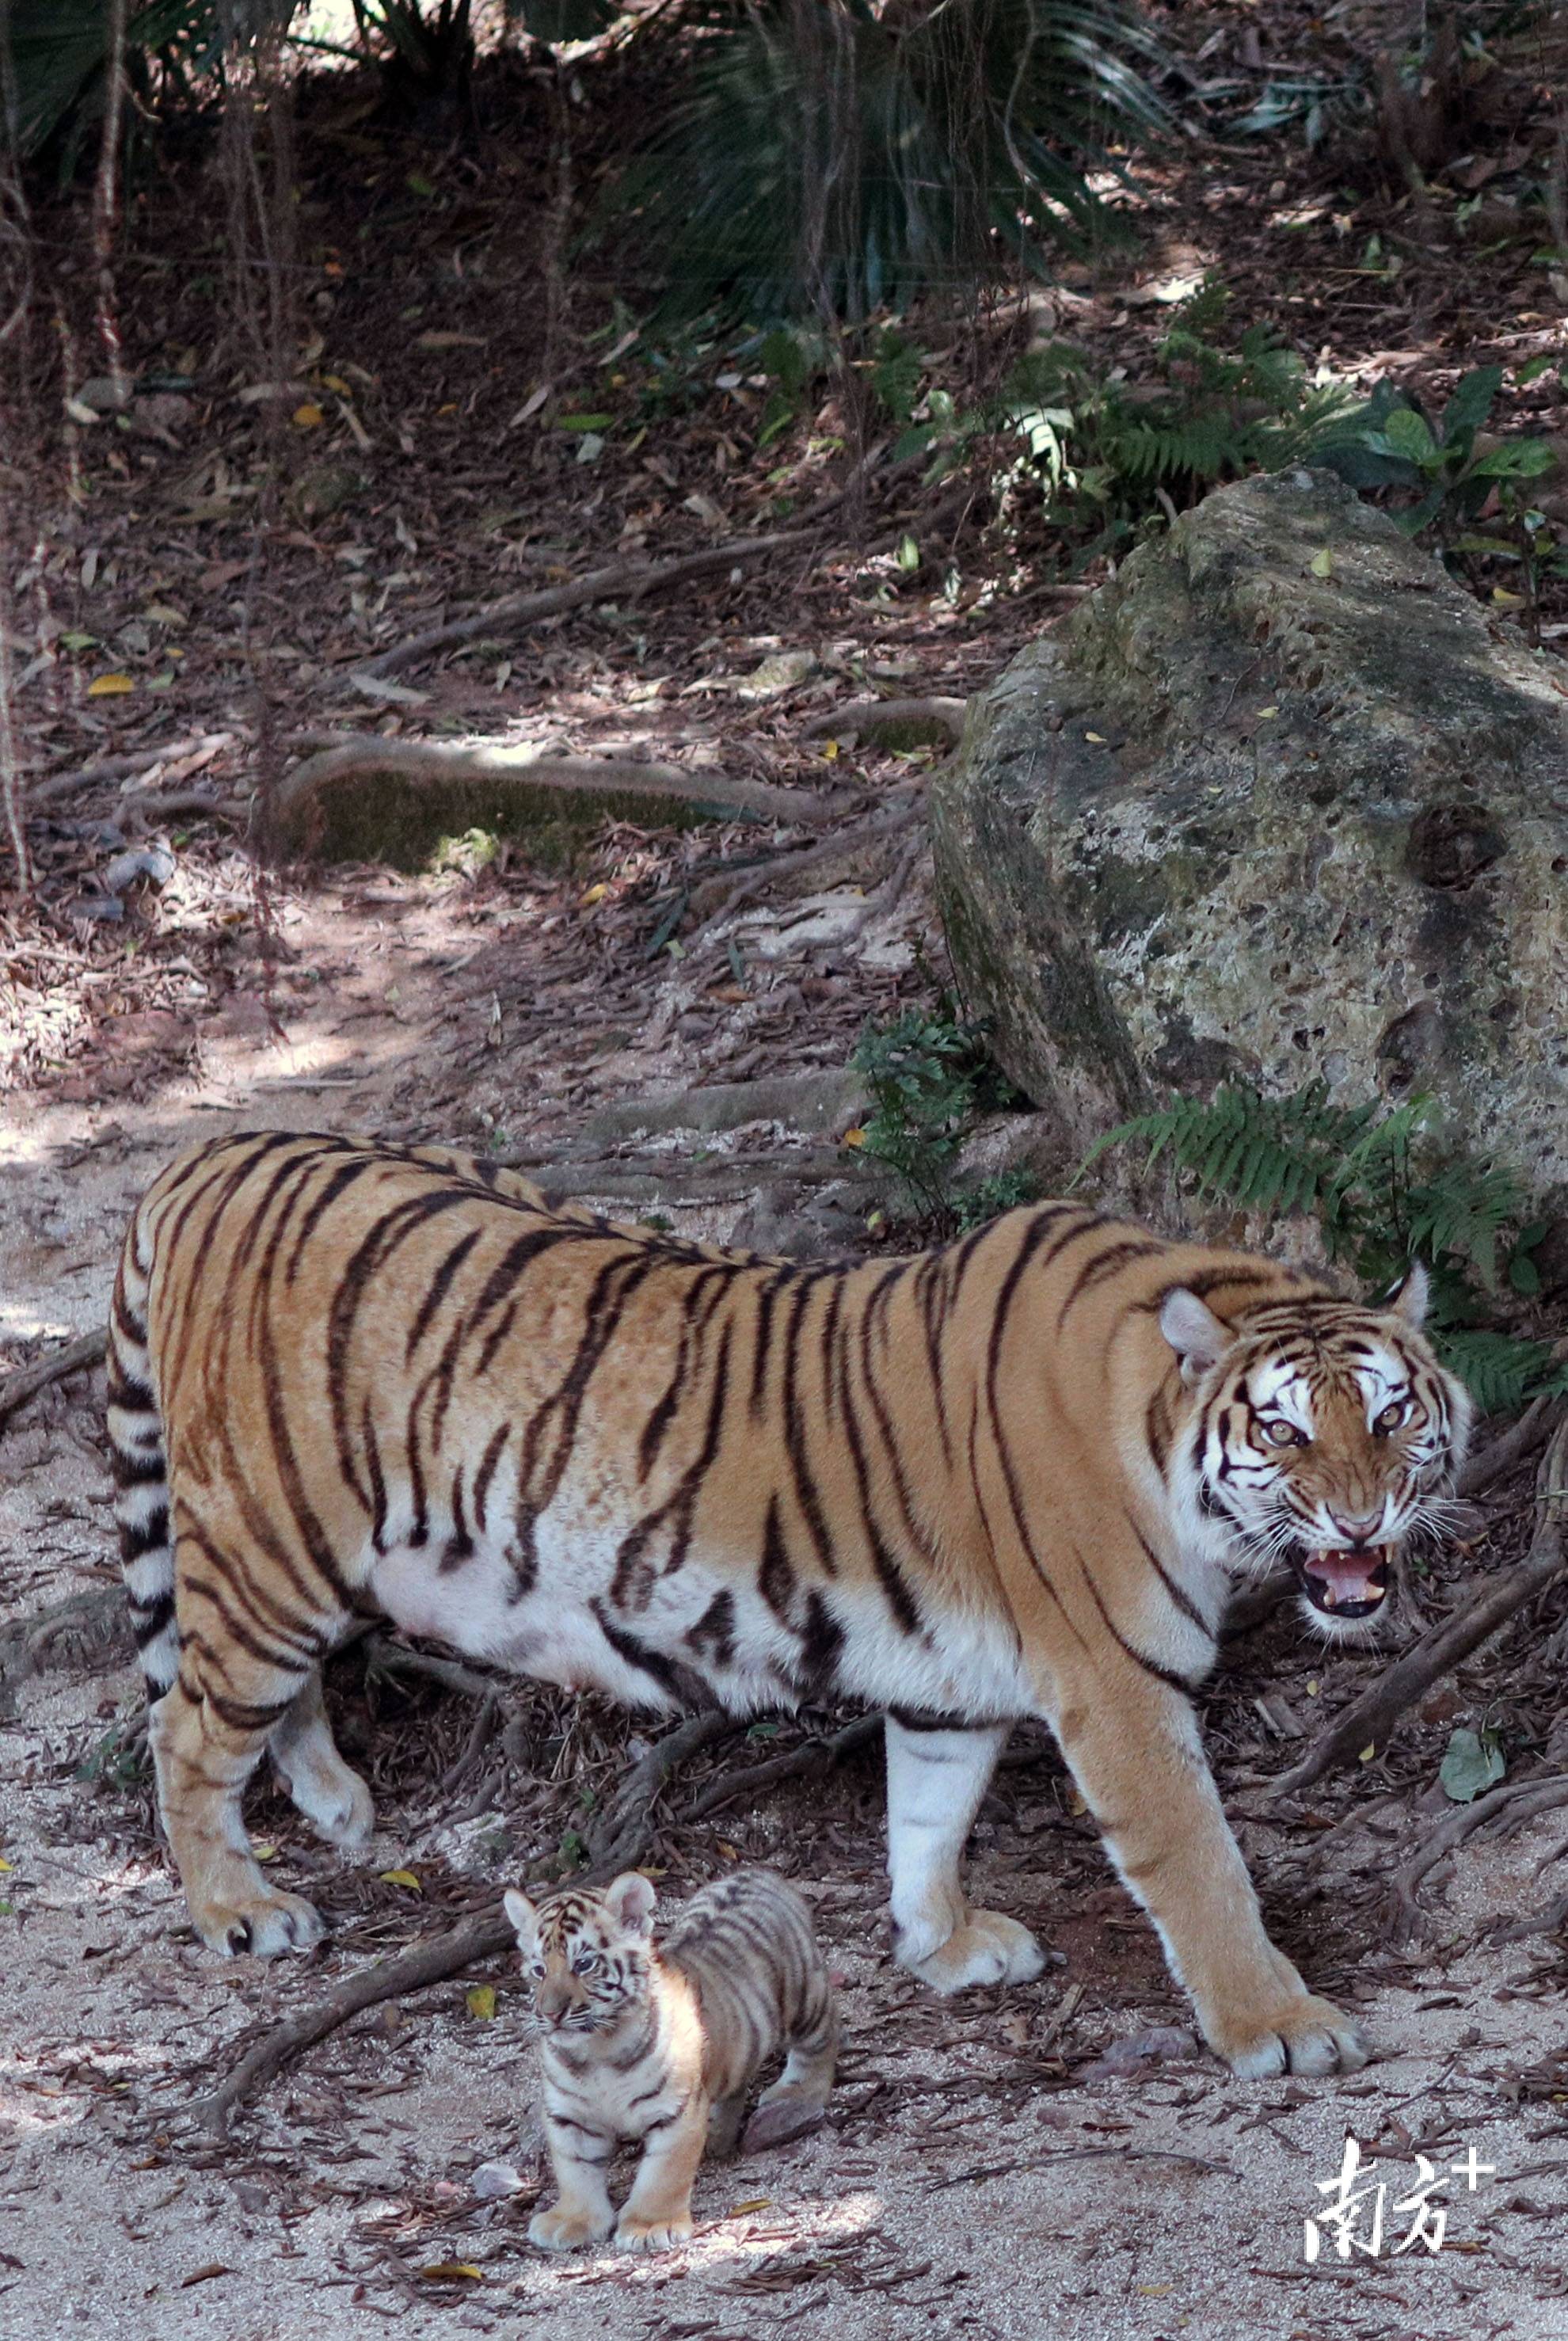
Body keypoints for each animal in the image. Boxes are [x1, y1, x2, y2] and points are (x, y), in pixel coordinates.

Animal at [110, 1132, 1479, 2069]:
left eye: (1390, 1416)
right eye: (1287, 1432)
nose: (1362, 1524)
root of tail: (216, 1154)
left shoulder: (951, 1681)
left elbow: (928, 1813)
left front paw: (941, 1947)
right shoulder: (1116, 1689)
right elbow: (1198, 1863)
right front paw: (1279, 2023)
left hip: (315, 1568)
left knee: (262, 1705)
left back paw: (336, 1806)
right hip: (269, 1546)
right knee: (184, 1724)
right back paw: (240, 1909)